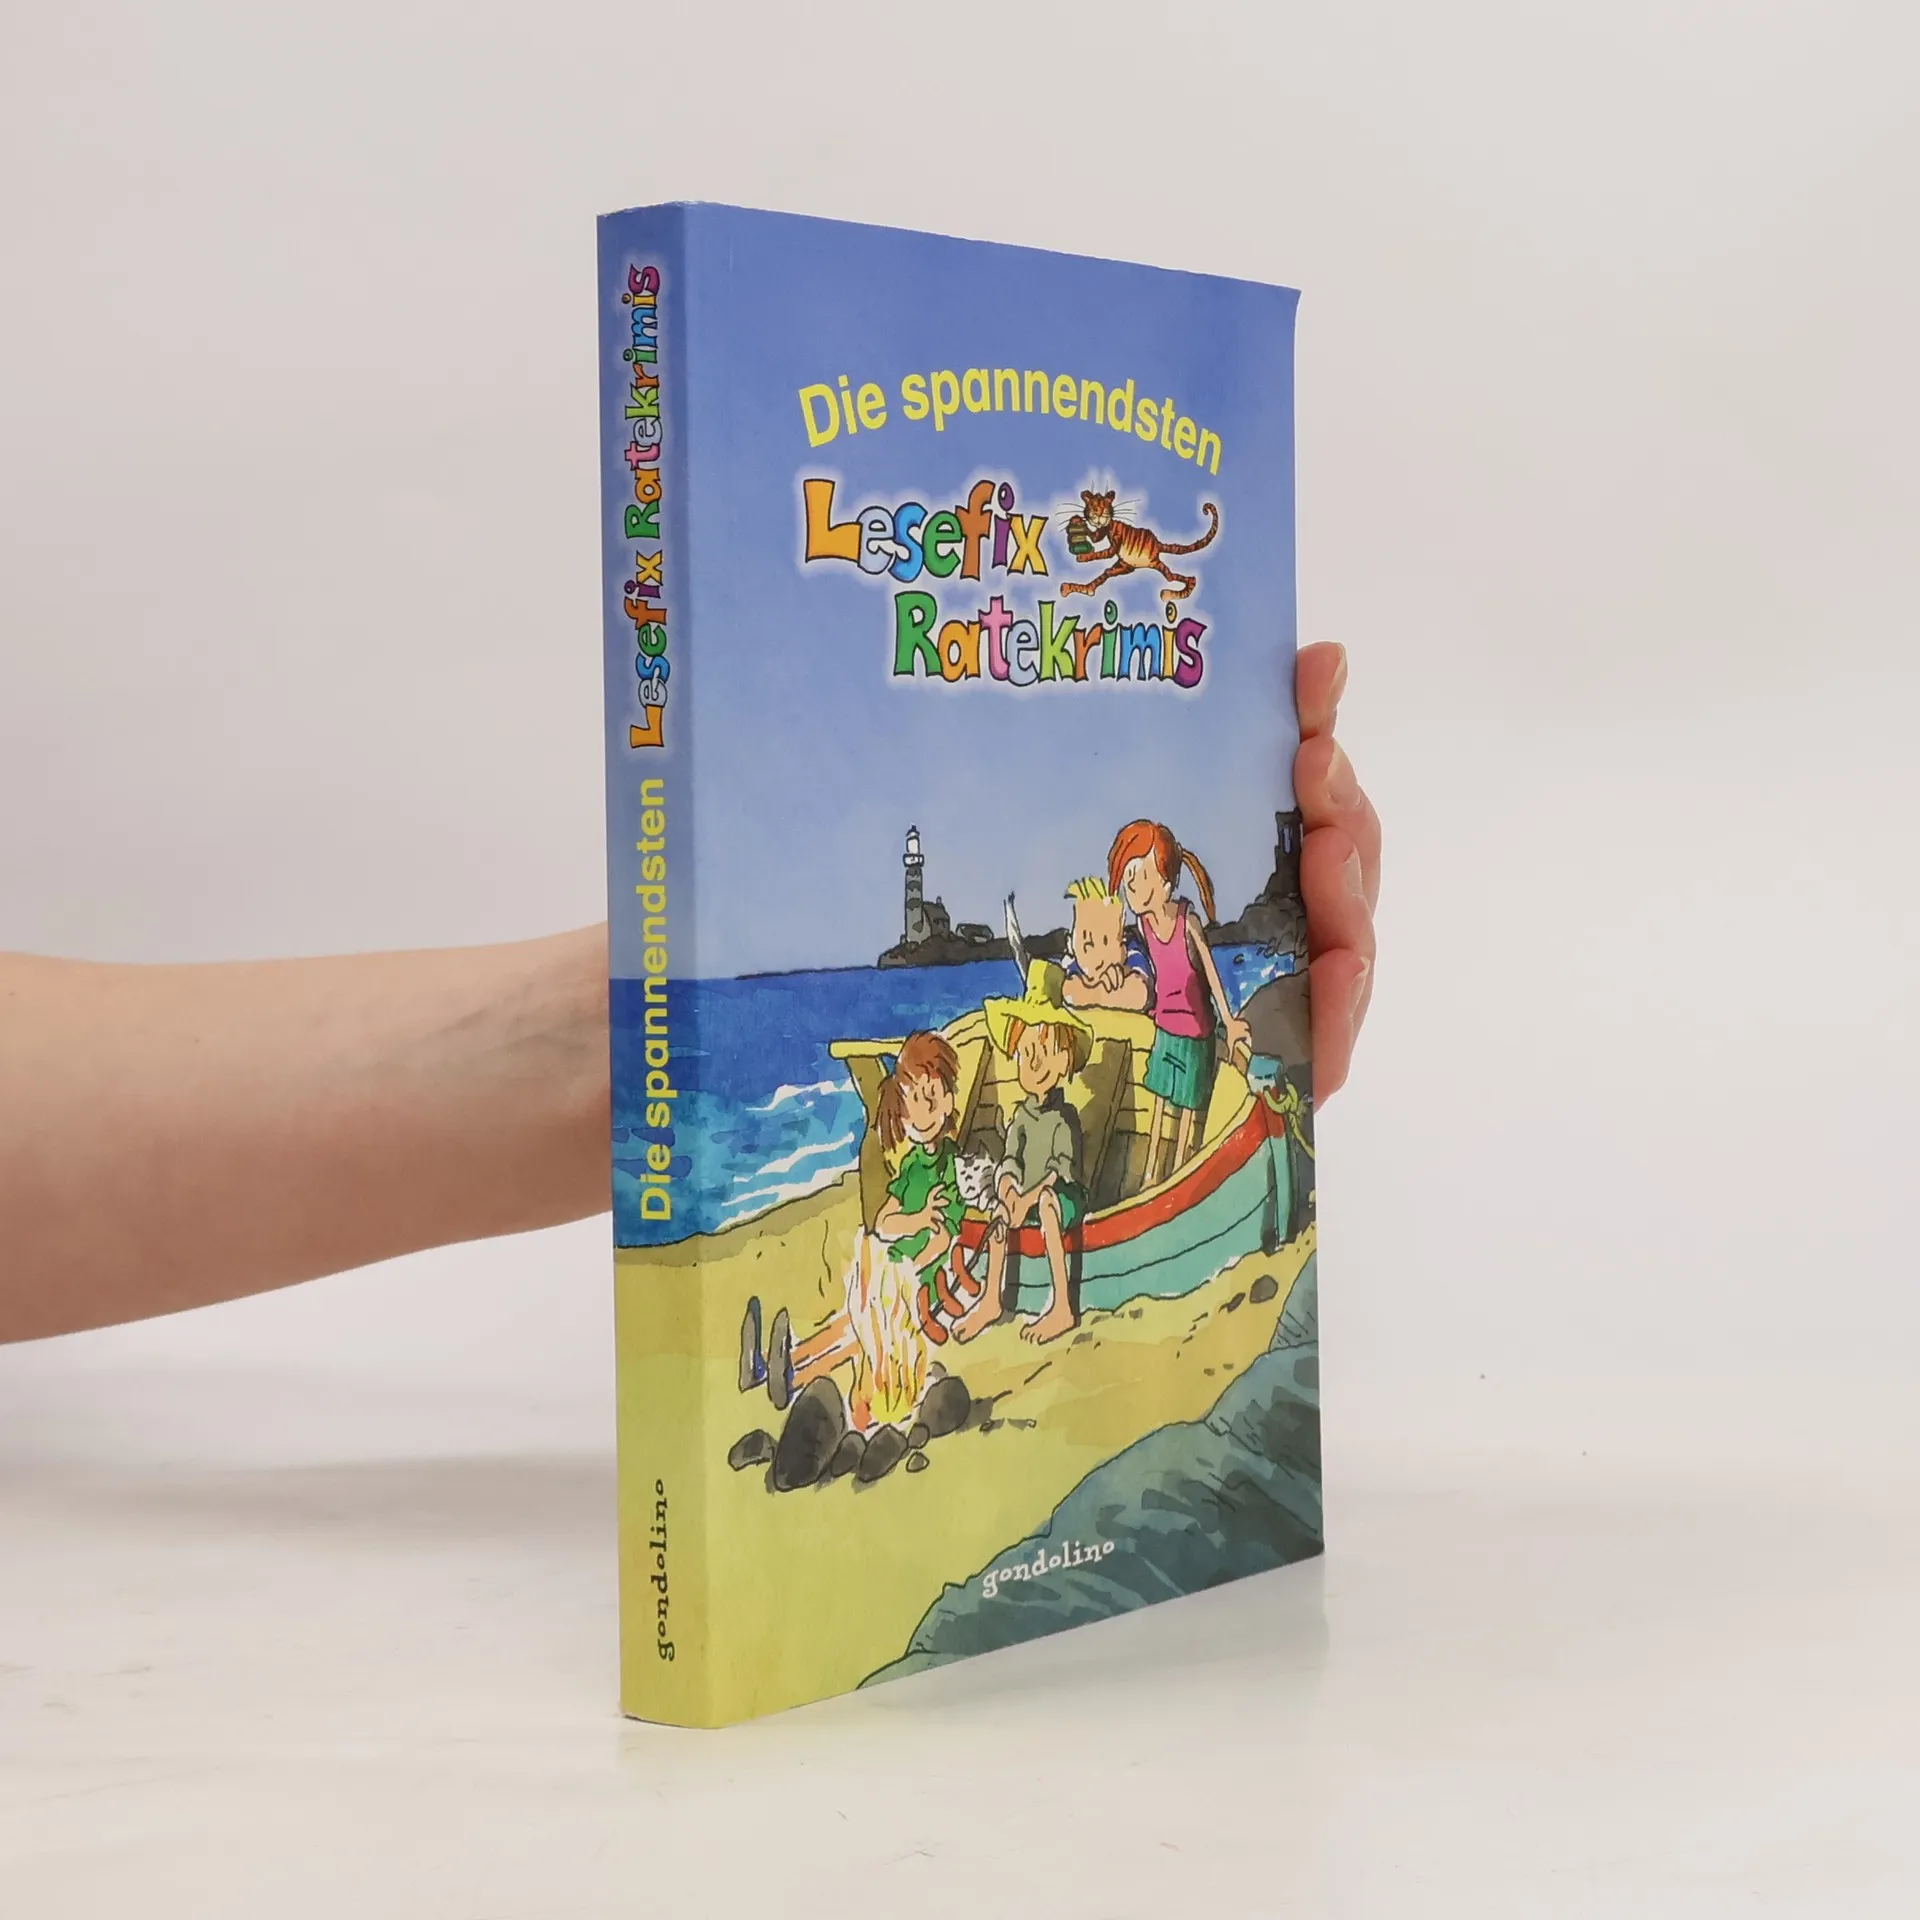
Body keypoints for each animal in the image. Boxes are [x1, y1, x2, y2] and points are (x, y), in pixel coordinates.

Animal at [1061, 491, 1220, 600]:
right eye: (1092, 505)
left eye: (1105, 505)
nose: (1098, 513)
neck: (1108, 526)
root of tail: (1158, 544)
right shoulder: (1102, 531)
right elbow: (1094, 539)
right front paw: (1076, 523)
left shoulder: (1115, 541)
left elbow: (1103, 552)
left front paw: (1083, 557)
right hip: (1125, 566)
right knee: (1106, 573)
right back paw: (1075, 588)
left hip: (1155, 564)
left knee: (1178, 577)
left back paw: (1170, 594)